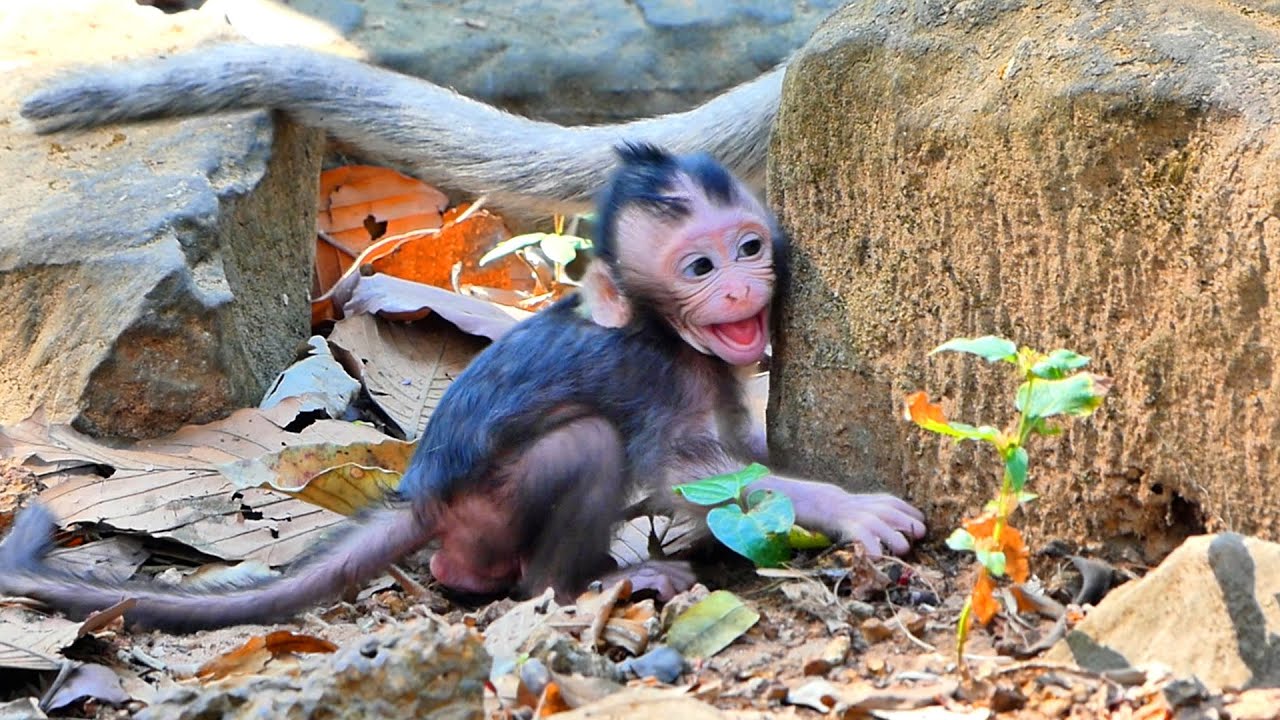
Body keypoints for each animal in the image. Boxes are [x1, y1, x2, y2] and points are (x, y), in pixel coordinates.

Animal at [0, 143, 925, 632]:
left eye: (748, 247)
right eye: (699, 267)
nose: (738, 289)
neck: (661, 331)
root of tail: (423, 497)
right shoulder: (651, 377)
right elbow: (689, 477)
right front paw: (850, 508)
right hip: (490, 512)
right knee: (583, 451)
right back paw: (578, 587)